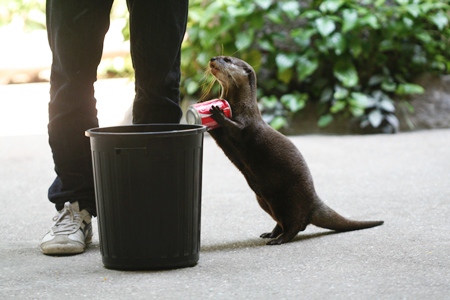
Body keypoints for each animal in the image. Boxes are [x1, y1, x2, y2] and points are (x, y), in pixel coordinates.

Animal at [203, 55, 384, 245]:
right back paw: (271, 233)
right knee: (281, 221)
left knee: (296, 224)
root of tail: (313, 202)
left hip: (289, 201)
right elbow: (219, 135)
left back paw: (279, 239)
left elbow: (236, 130)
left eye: (227, 59)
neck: (241, 108)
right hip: (264, 201)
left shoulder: (248, 126)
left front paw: (217, 113)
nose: (213, 58)